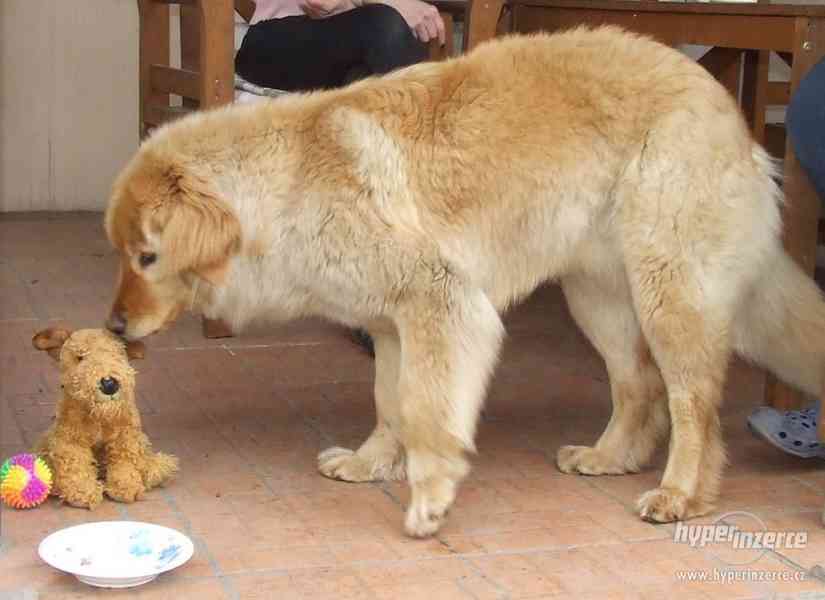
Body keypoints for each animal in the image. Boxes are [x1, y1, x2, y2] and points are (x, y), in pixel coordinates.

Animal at [104, 26, 825, 537]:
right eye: (123, 253)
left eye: (147, 257)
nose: (112, 326)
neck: (289, 186)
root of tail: (720, 100)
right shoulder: (391, 328)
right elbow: (388, 404)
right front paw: (370, 464)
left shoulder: (442, 308)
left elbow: (425, 412)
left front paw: (429, 495)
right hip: (599, 301)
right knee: (638, 387)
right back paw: (608, 457)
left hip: (667, 295)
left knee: (693, 406)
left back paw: (680, 494)